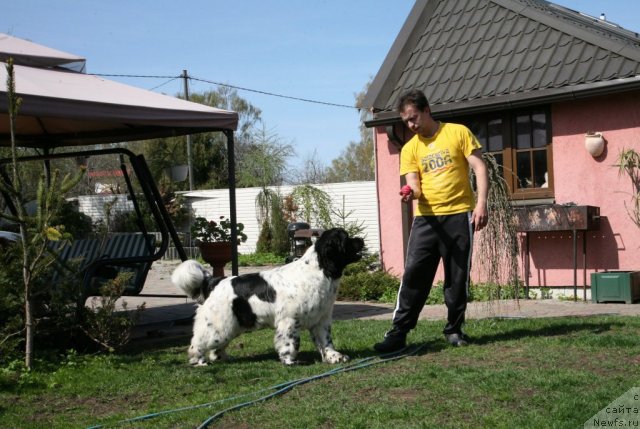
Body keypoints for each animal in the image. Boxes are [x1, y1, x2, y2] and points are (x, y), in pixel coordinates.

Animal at [171, 227, 364, 364]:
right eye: (346, 238)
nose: (361, 240)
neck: (318, 270)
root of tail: (214, 281)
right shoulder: (290, 320)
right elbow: (290, 342)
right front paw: (290, 360)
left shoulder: (321, 319)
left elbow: (326, 341)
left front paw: (334, 357)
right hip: (218, 326)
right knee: (198, 343)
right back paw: (199, 361)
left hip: (231, 325)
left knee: (216, 347)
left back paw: (223, 358)